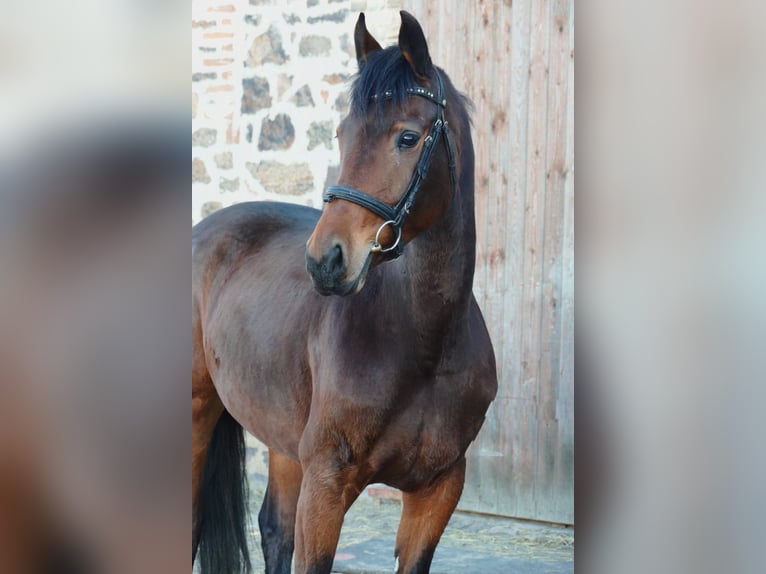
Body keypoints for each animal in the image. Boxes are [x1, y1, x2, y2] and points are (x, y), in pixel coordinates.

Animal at [192, 11, 498, 574]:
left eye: (408, 137)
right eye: (341, 133)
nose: (325, 261)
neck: (424, 343)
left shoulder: (438, 490)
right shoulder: (327, 486)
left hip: (284, 441)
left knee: (274, 530)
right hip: (200, 412)